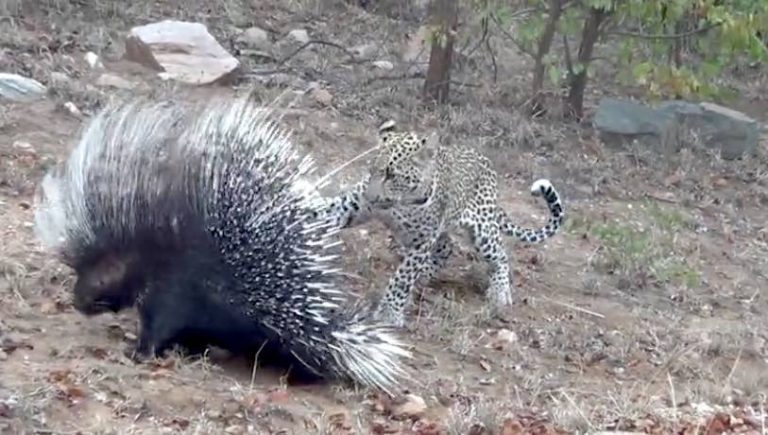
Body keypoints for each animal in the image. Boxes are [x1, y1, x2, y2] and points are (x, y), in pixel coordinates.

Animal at [312, 121, 565, 327]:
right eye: (371, 170)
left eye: (392, 175)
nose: (372, 198)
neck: (399, 203)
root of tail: (487, 164)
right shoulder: (353, 205)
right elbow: (322, 212)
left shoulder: (423, 240)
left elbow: (402, 278)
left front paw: (389, 313)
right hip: (444, 233)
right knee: (447, 249)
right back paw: (426, 273)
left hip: (482, 230)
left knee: (500, 254)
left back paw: (500, 292)